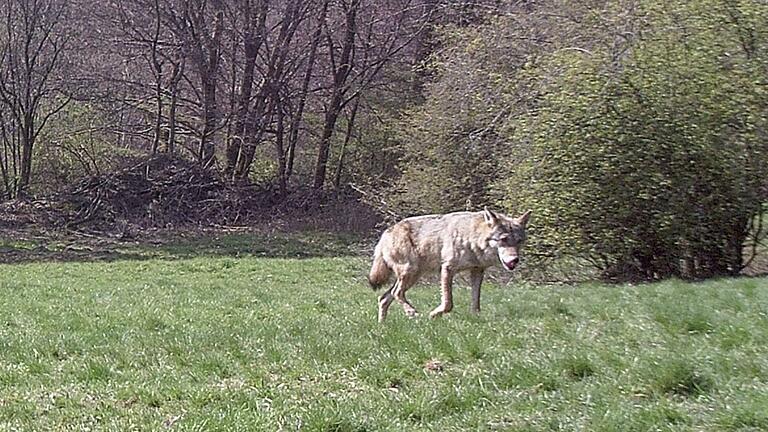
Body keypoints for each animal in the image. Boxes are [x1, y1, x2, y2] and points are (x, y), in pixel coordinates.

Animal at [368, 208, 532, 322]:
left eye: (519, 241)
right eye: (503, 239)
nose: (515, 260)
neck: (472, 238)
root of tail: (386, 233)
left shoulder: (477, 271)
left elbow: (476, 302)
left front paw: (476, 319)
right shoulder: (447, 269)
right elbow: (448, 303)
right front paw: (433, 315)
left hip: (413, 276)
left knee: (384, 298)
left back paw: (382, 327)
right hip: (410, 273)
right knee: (396, 293)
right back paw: (411, 312)